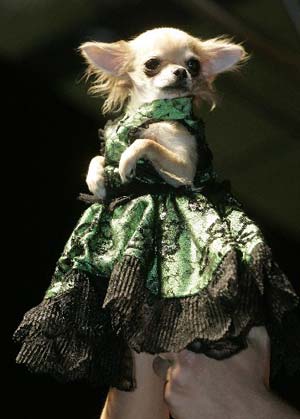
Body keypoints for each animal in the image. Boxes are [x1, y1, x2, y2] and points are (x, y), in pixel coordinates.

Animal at [79, 27, 246, 199]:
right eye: (152, 64)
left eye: (193, 65)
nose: (181, 71)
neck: (156, 113)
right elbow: (97, 157)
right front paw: (95, 179)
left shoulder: (185, 174)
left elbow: (147, 142)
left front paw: (127, 159)